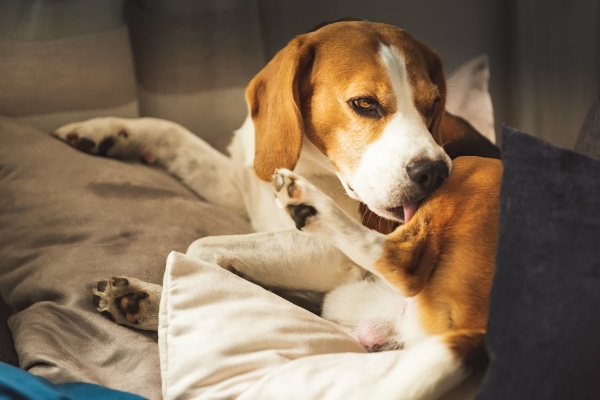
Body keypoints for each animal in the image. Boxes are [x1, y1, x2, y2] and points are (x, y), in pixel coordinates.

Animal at [54, 19, 500, 400]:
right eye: (364, 104)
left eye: (433, 105)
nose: (435, 173)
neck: (307, 162)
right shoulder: (238, 185)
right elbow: (171, 133)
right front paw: (107, 130)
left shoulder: (333, 255)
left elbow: (201, 248)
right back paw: (139, 300)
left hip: (468, 175)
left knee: (398, 261)